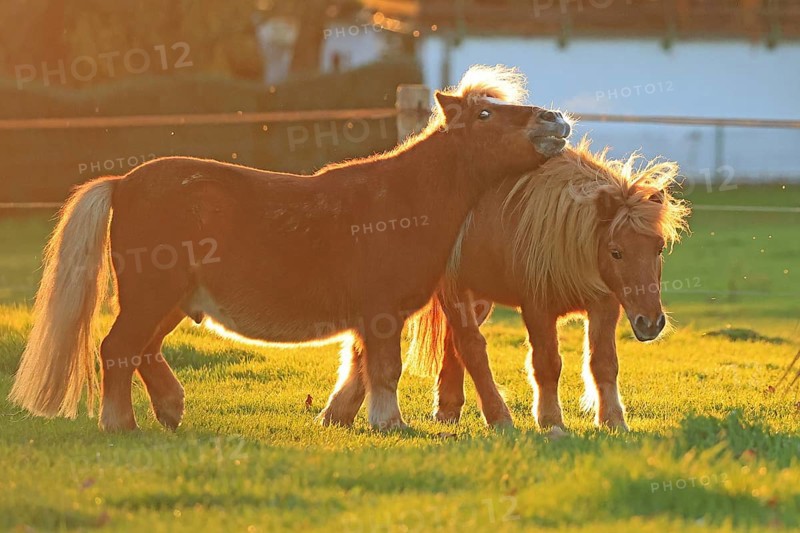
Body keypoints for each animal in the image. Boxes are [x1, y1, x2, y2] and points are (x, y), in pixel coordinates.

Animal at [9, 65, 572, 432]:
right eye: (484, 114)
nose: (555, 120)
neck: (404, 197)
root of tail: (122, 182)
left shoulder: (370, 318)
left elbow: (359, 368)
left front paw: (340, 417)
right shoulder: (381, 312)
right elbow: (383, 370)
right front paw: (390, 423)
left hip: (170, 300)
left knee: (142, 350)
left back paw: (169, 408)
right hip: (152, 295)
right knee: (118, 349)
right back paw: (120, 424)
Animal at [402, 139, 690, 431]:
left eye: (659, 248)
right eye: (616, 252)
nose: (650, 323)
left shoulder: (605, 304)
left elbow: (604, 362)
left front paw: (612, 420)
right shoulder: (537, 308)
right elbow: (547, 364)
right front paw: (551, 420)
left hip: (480, 297)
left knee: (454, 343)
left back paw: (448, 409)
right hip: (455, 290)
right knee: (471, 346)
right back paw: (498, 416)